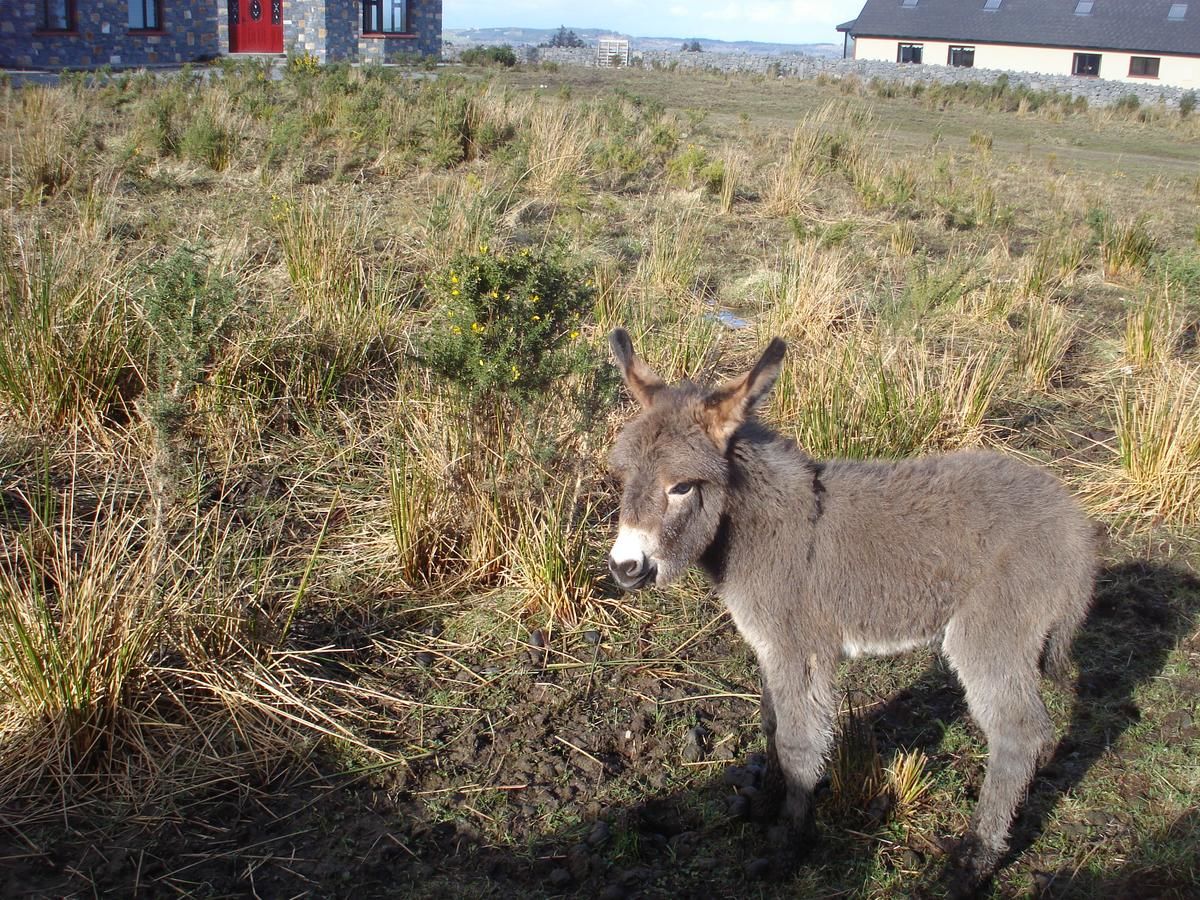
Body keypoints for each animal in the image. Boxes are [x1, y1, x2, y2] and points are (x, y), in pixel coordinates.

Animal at [609, 328, 1099, 888]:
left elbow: (799, 745)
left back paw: (974, 859)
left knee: (1019, 733)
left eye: (682, 486)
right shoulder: (771, 650)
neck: (759, 527)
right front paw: (766, 803)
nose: (624, 568)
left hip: (992, 632)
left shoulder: (799, 649)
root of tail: (1076, 523)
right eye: (624, 477)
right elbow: (771, 723)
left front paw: (789, 846)